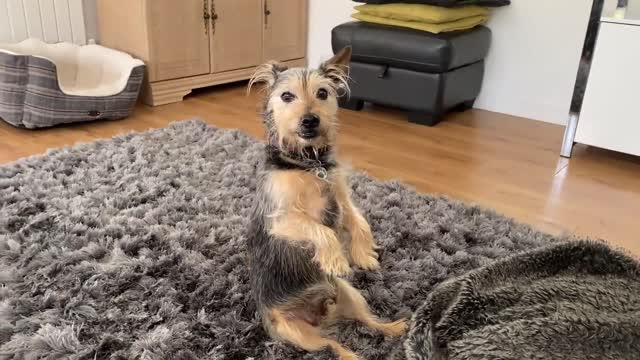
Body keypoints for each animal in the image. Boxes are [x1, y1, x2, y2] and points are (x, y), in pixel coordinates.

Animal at [248, 47, 408, 360]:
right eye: (287, 96)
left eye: (322, 93)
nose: (310, 120)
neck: (309, 164)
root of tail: (322, 314)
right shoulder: (281, 220)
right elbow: (320, 230)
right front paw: (335, 258)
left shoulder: (340, 199)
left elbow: (359, 221)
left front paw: (363, 253)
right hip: (296, 332)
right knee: (334, 345)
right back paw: (353, 355)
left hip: (350, 295)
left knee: (367, 320)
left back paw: (394, 327)